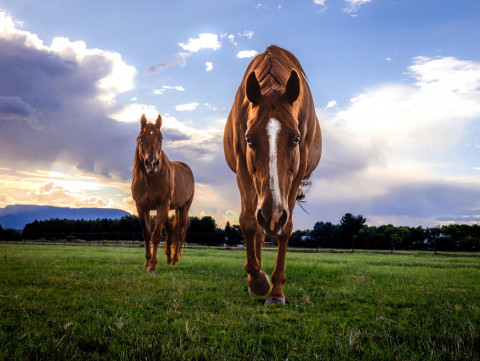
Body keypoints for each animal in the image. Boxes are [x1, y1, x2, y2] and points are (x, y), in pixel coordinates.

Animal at [132, 114, 194, 268]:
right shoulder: (142, 207)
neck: (150, 179)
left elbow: (156, 235)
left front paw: (153, 266)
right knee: (171, 231)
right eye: (141, 137)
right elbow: (147, 234)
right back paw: (168, 258)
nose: (152, 164)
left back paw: (175, 260)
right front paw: (147, 262)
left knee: (179, 233)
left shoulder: (162, 206)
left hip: (183, 208)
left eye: (161, 138)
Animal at [224, 45, 322, 304]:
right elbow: (248, 222)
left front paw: (276, 291)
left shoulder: (297, 172)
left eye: (296, 138)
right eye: (249, 138)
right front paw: (258, 282)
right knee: (257, 227)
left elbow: (286, 230)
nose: (273, 216)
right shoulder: (243, 167)